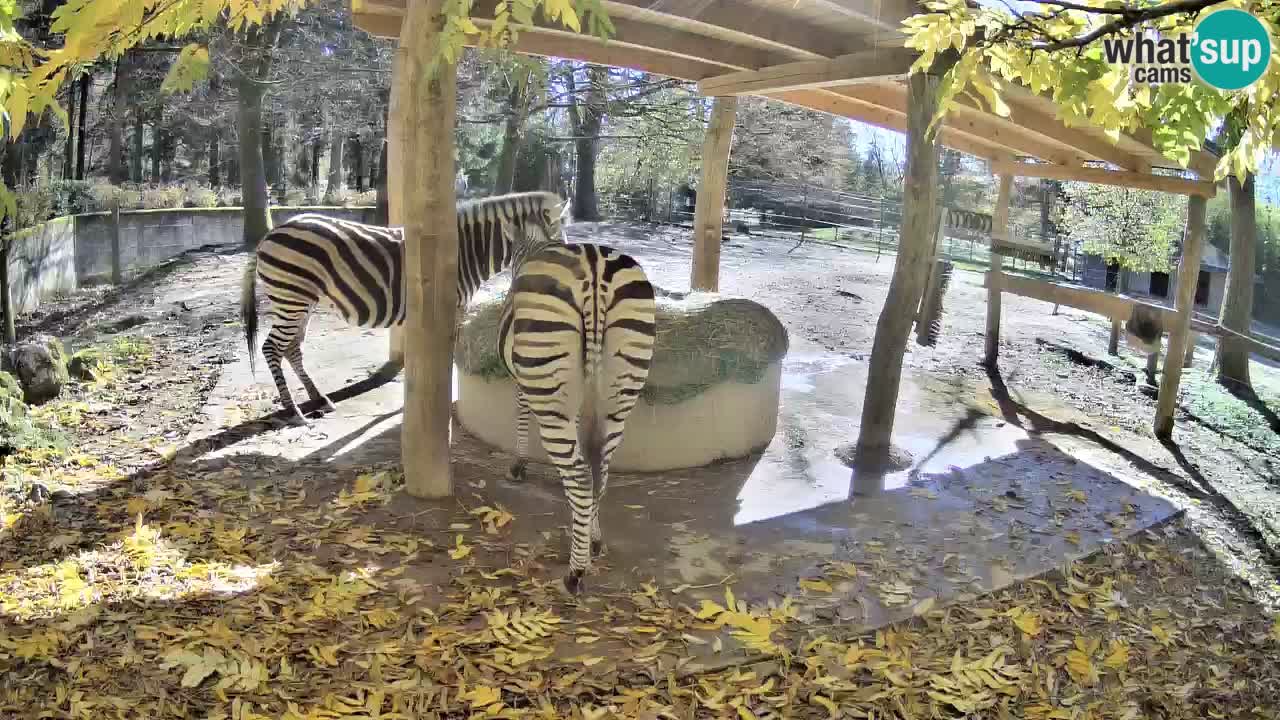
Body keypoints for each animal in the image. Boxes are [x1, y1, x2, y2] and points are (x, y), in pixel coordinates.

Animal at [239, 191, 571, 425]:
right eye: (557, 246)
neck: (465, 252)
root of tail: (270, 234)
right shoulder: (453, 306)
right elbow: (446, 354)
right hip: (291, 297)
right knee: (272, 348)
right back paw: (294, 411)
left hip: (300, 301)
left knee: (292, 348)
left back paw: (318, 399)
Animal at [497, 233, 657, 595]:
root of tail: (594, 266)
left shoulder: (524, 380)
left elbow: (521, 414)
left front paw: (518, 465)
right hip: (619, 395)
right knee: (600, 473)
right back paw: (592, 544)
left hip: (551, 394)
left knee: (582, 477)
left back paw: (575, 573)